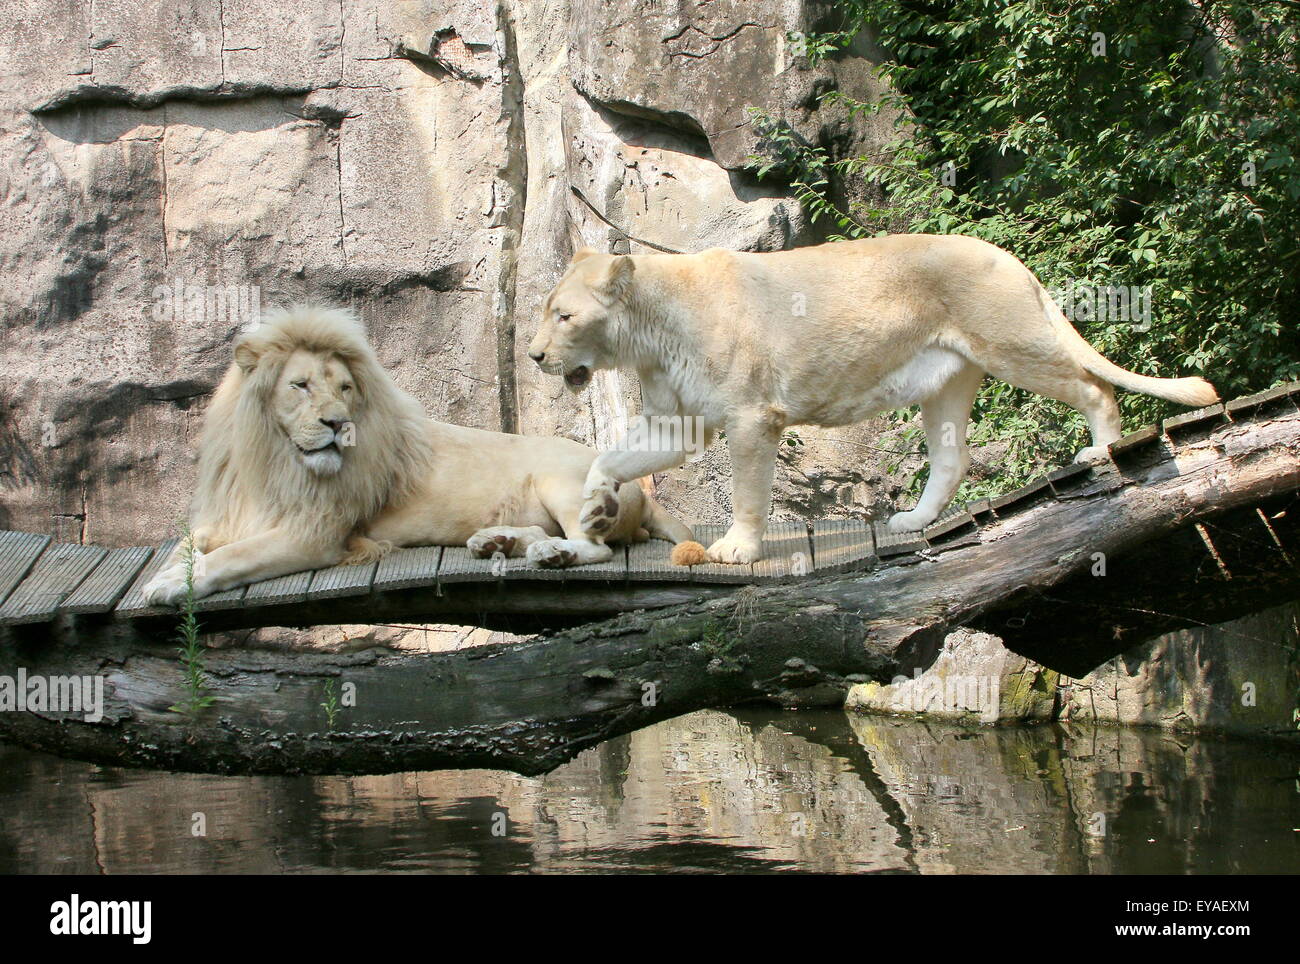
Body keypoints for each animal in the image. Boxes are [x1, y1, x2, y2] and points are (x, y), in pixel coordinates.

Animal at [141, 304, 691, 602]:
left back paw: (552, 555)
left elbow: (231, 557)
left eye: (345, 388)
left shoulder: (315, 533)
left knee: (594, 545)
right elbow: (188, 545)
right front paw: (170, 571)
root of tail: (647, 497)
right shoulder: (230, 516)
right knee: (542, 531)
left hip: (563, 478)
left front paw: (167, 587)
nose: (337, 424)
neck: (274, 458)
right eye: (300, 385)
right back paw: (496, 542)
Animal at [527, 233, 1216, 566]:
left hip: (1009, 344)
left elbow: (748, 492)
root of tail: (1010, 258)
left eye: (564, 316)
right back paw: (913, 521)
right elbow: (608, 460)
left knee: (1095, 387)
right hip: (949, 380)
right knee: (953, 459)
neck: (648, 335)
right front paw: (594, 509)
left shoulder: (751, 417)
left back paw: (1100, 454)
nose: (534, 356)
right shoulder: (677, 426)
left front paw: (738, 549)